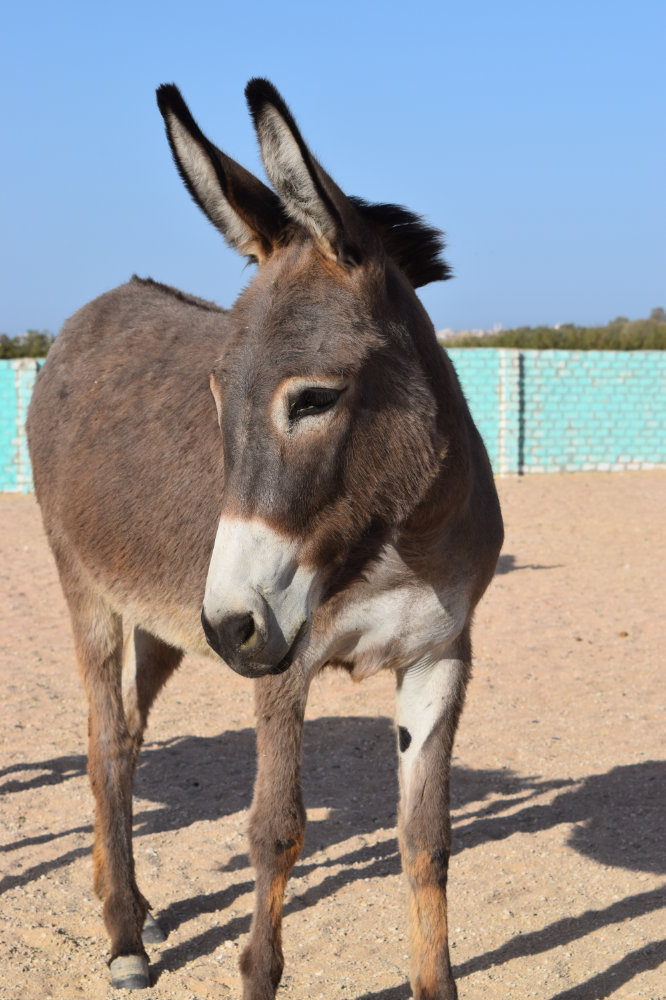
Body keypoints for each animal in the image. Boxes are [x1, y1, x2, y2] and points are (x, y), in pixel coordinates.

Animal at [27, 79, 503, 999]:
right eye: (216, 393)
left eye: (314, 398)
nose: (232, 626)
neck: (393, 542)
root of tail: (92, 310)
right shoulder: (286, 663)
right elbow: (275, 830)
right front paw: (255, 968)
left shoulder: (441, 655)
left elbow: (427, 839)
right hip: (88, 588)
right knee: (102, 743)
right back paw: (123, 936)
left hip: (167, 623)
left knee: (126, 737)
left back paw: (129, 904)